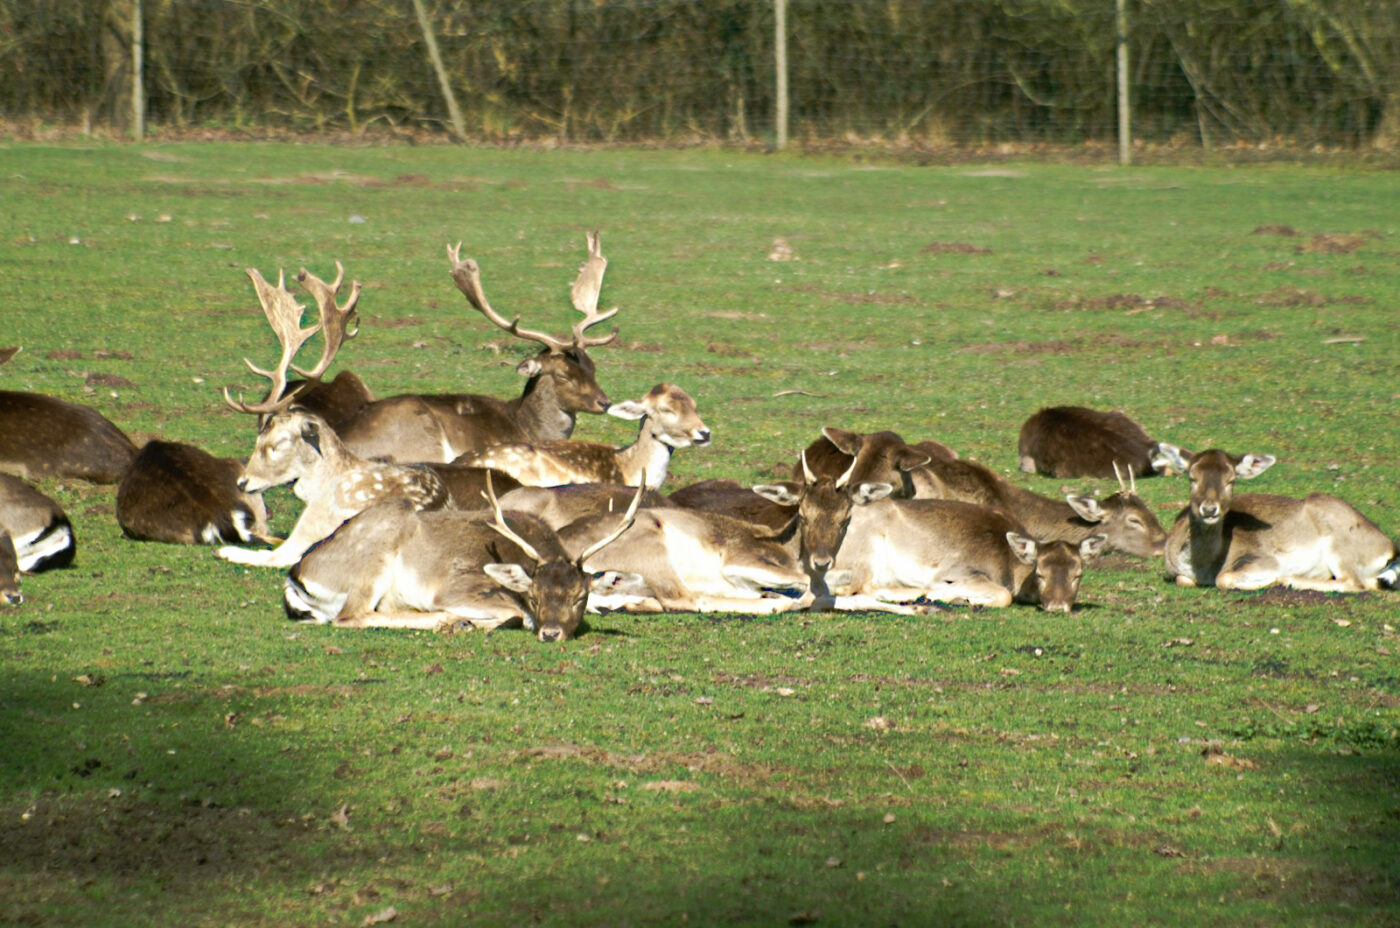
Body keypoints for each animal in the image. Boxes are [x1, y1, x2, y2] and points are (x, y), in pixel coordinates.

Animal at [284, 477, 648, 641]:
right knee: (351, 615)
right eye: (534, 595)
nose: (551, 633)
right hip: (377, 550)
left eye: (580, 597)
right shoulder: (456, 588)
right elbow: (516, 615)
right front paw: (465, 621)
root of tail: (297, 574)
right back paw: (448, 620)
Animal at [827, 496, 1108, 612]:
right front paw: (960, 598)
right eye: (1040, 573)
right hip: (864, 551)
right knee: (861, 586)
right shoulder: (957, 572)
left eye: (1078, 574)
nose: (1058, 606)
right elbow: (1004, 595)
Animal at [1165, 449, 1400, 592]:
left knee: (1354, 582)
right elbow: (1182, 580)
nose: (1209, 509)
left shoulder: (1262, 559)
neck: (1202, 567)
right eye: (1192, 477)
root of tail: (1389, 548)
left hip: (1341, 545)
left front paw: (1273, 580)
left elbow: (1223, 578)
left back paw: (1290, 580)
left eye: (1230, 480)